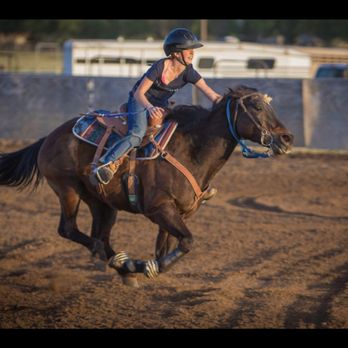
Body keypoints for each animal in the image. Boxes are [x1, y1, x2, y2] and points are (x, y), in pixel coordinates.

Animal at [0, 85, 294, 286]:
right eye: (257, 107)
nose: (287, 138)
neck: (191, 149)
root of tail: (49, 137)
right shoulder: (159, 208)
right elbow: (187, 241)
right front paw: (147, 267)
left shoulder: (176, 213)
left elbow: (167, 247)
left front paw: (149, 266)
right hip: (67, 189)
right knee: (70, 229)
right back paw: (122, 262)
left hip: (103, 203)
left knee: (100, 236)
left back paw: (123, 265)